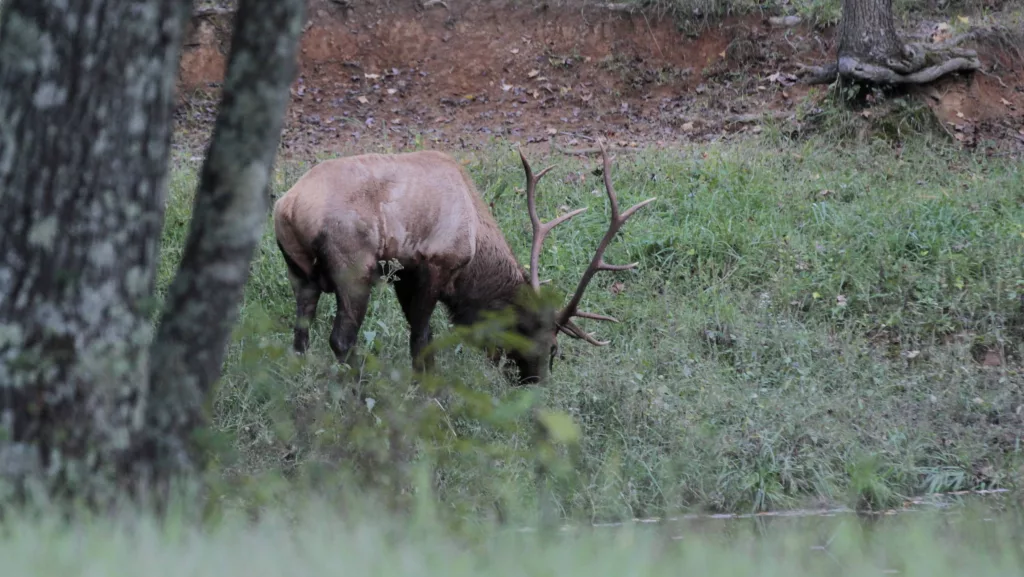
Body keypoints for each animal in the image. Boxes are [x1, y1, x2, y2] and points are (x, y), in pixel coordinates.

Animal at [271, 141, 655, 384]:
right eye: (552, 347)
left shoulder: (403, 274)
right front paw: (426, 387)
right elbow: (421, 337)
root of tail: (287, 207)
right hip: (354, 267)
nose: (538, 385)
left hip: (299, 271)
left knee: (300, 334)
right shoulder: (435, 263)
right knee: (341, 339)